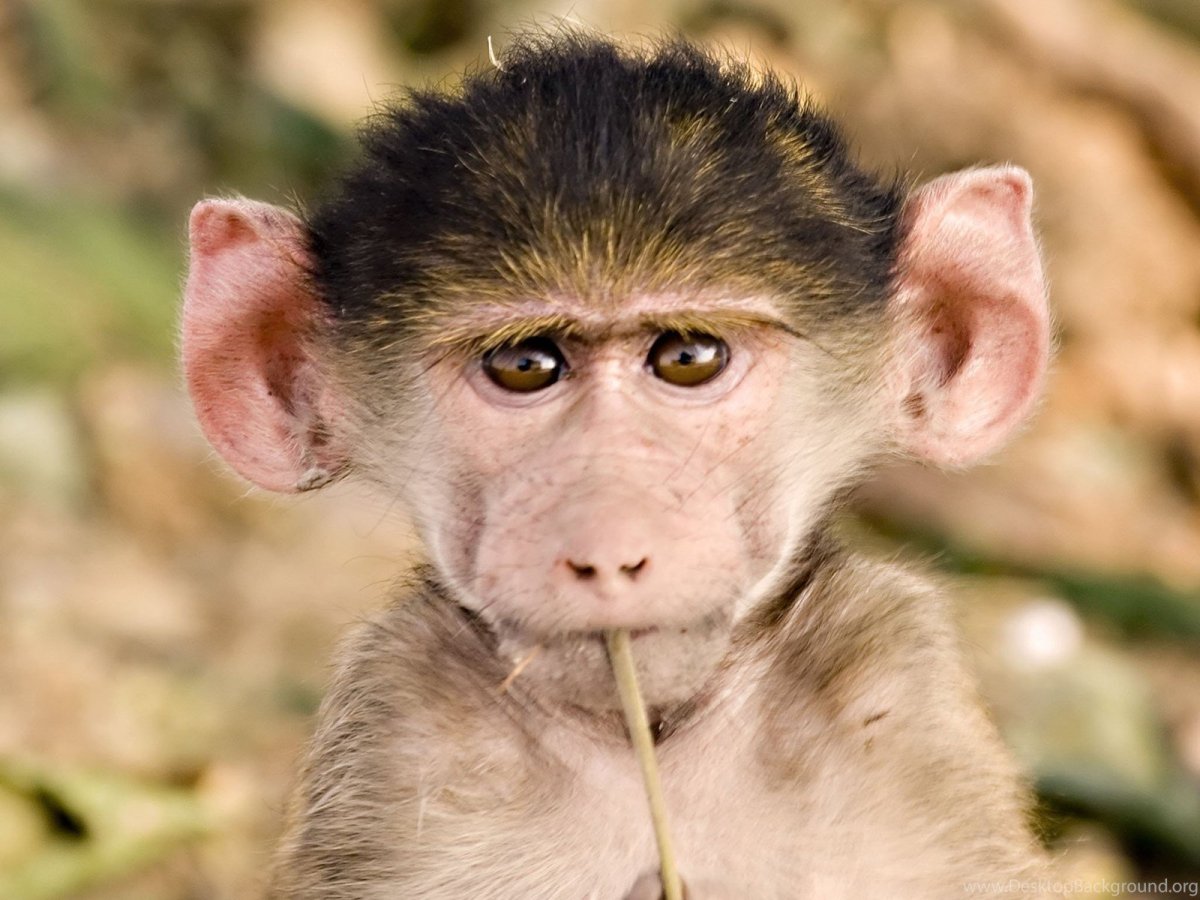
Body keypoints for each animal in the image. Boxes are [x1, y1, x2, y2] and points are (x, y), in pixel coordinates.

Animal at [181, 34, 1051, 900]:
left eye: (689, 357)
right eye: (525, 365)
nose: (606, 549)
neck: (652, 743)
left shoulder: (894, 685)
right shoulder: (397, 724)